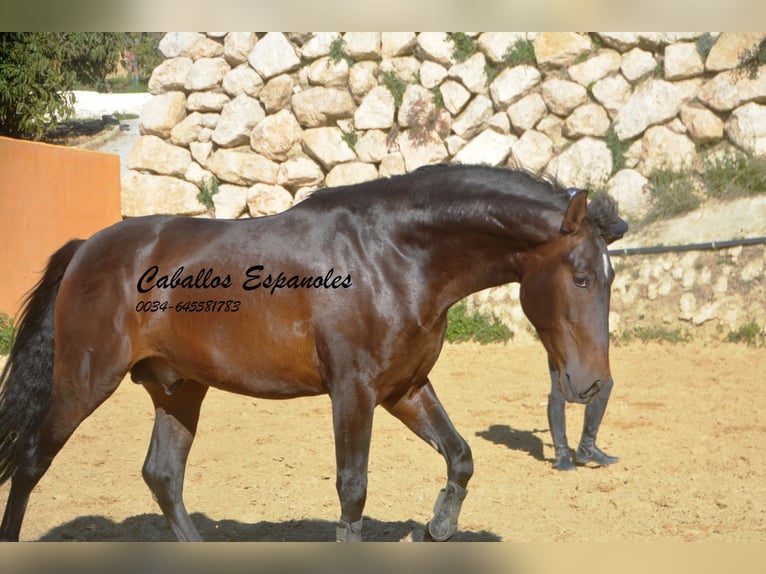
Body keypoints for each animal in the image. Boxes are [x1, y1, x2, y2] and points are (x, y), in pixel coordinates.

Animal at [0, 164, 624, 544]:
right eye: (583, 277)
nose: (592, 383)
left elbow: (461, 457)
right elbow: (353, 489)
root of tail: (89, 246)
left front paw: (436, 527)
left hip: (179, 388)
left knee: (163, 475)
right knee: (31, 460)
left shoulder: (404, 388)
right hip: (85, 381)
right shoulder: (353, 391)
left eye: (609, 276)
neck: (393, 255)